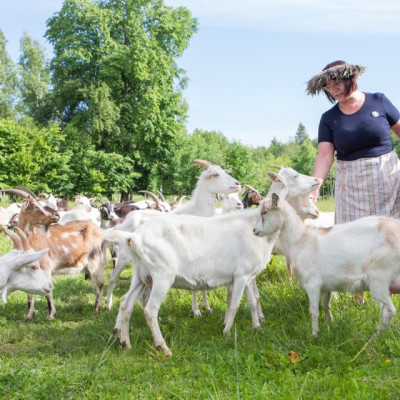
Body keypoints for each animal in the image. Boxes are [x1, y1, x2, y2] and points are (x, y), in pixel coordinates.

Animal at [255, 194, 400, 338]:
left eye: (264, 212)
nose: (254, 230)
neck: (299, 239)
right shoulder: (326, 286)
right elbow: (325, 305)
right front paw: (331, 324)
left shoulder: (312, 284)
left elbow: (313, 311)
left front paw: (314, 335)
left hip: (378, 279)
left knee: (388, 311)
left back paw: (374, 338)